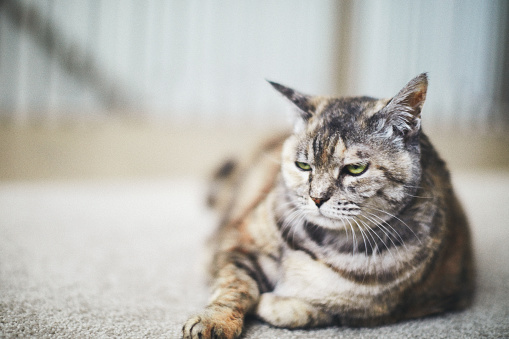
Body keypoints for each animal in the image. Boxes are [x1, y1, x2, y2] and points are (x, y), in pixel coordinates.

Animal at [182, 74, 472, 339]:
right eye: (303, 165)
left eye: (355, 169)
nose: (317, 198)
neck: (320, 242)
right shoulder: (240, 242)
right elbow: (234, 284)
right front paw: (213, 321)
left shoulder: (394, 306)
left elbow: (317, 309)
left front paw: (275, 302)